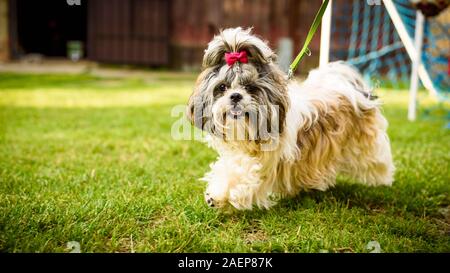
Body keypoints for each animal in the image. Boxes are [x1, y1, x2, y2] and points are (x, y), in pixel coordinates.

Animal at [185, 27, 394, 209]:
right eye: (222, 87)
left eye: (250, 88)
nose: (235, 96)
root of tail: (344, 87)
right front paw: (216, 193)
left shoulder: (266, 163)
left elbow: (245, 173)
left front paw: (219, 194)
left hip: (366, 144)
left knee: (376, 159)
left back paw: (383, 177)